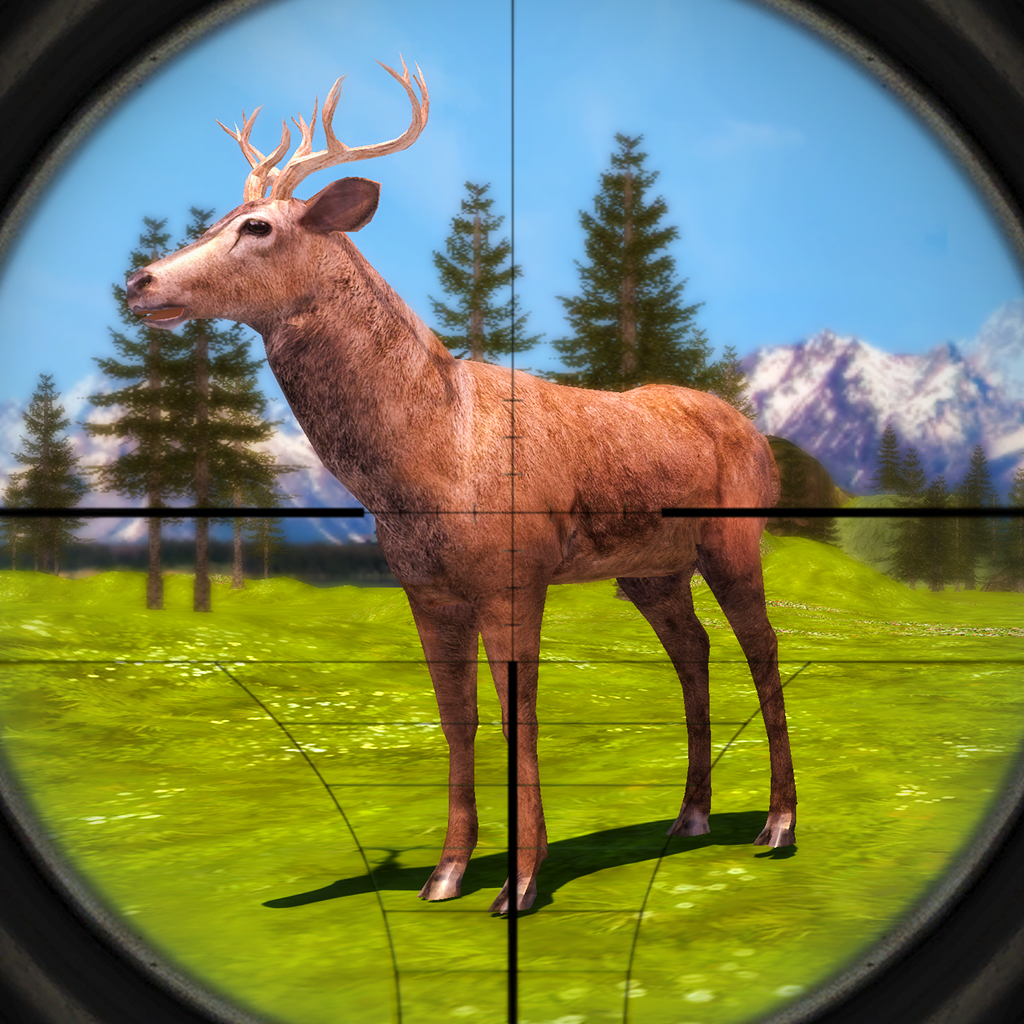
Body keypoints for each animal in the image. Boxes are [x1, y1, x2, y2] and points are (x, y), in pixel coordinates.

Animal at [125, 58, 796, 914]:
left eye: (258, 228)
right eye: (217, 218)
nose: (139, 281)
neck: (424, 457)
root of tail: (757, 433)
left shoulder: (515, 575)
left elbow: (520, 718)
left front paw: (522, 882)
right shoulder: (427, 587)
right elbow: (458, 717)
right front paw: (446, 873)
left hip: (734, 538)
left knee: (761, 646)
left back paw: (777, 824)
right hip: (652, 569)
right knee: (695, 650)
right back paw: (690, 816)